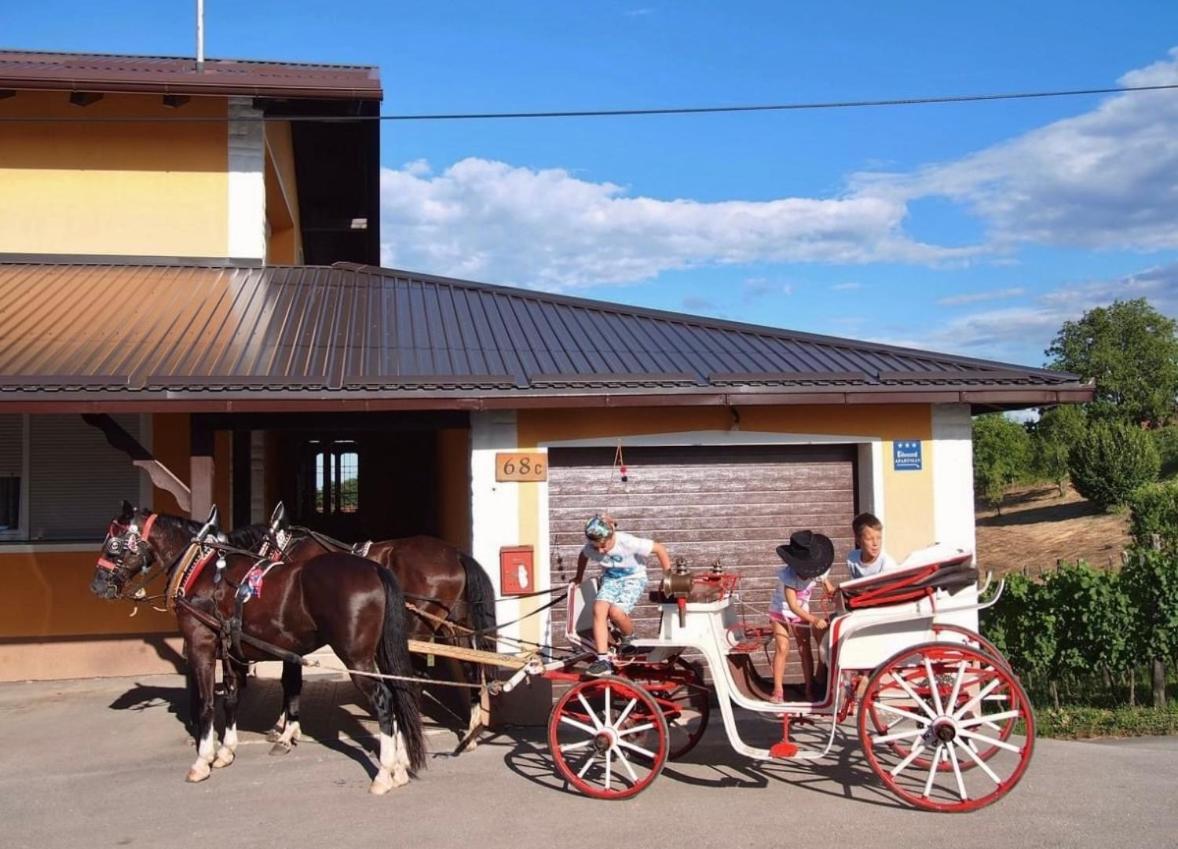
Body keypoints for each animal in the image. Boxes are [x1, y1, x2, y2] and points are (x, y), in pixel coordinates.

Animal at [91, 503, 424, 796]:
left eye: (114, 543)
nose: (97, 585)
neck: (204, 570)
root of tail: (375, 569)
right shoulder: (232, 650)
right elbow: (231, 698)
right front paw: (226, 751)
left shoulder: (201, 645)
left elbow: (207, 703)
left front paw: (202, 760)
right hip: (376, 654)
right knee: (397, 694)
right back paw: (399, 768)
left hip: (356, 657)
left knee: (383, 700)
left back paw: (383, 774)